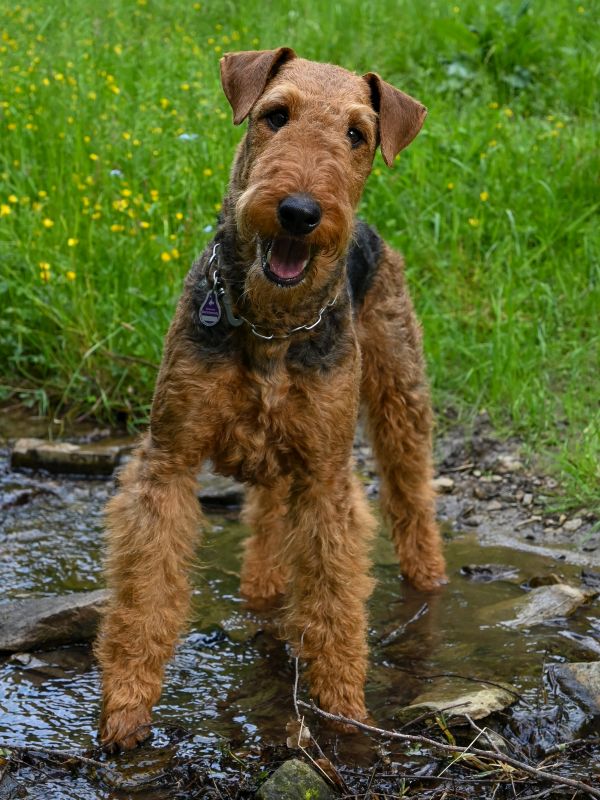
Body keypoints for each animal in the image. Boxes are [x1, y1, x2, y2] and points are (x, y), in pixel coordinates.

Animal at [96, 48, 448, 752]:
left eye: (356, 134)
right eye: (275, 115)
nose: (300, 211)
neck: (270, 326)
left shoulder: (326, 478)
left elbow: (335, 601)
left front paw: (343, 709)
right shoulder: (167, 463)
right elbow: (145, 595)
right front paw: (125, 710)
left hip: (398, 396)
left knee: (412, 495)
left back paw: (429, 580)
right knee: (265, 518)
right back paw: (262, 585)